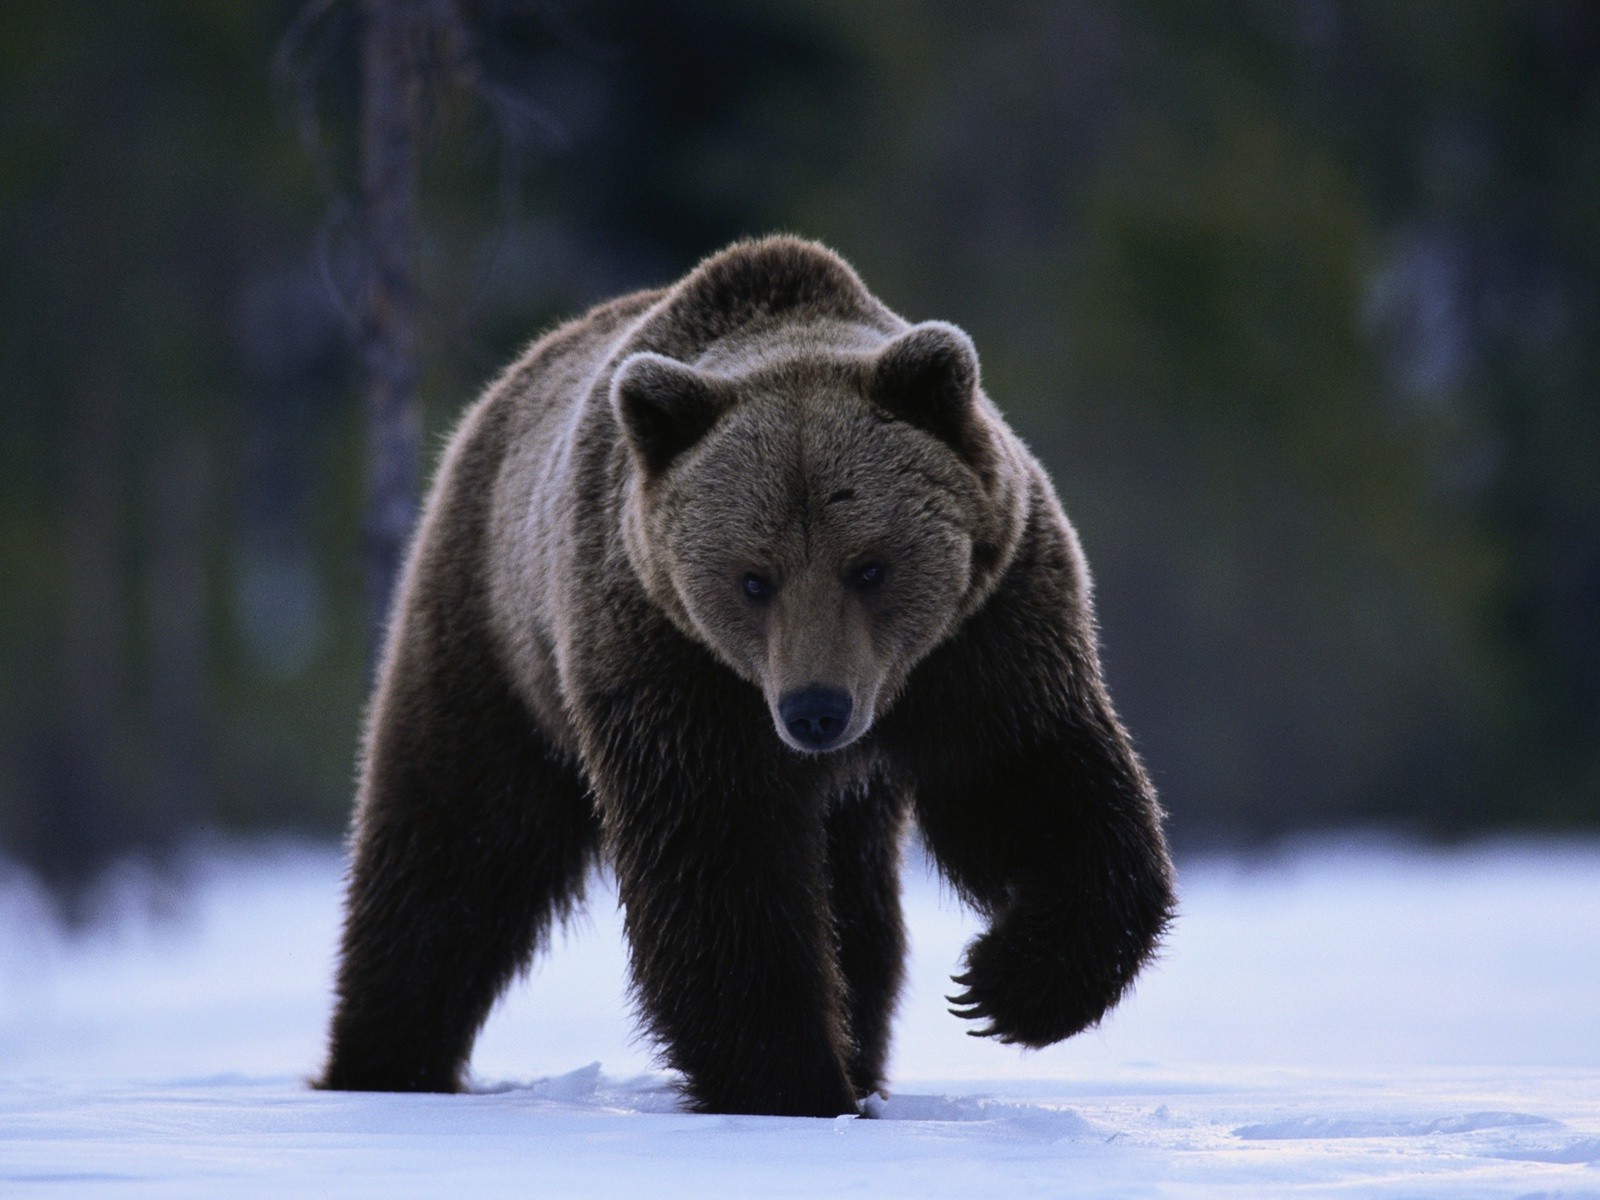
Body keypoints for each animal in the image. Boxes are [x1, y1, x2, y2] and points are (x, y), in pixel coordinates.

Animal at [321, 235, 1177, 1120]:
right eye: (753, 578)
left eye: (869, 566)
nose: (815, 710)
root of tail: (497, 395)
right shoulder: (669, 660)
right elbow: (721, 865)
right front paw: (791, 1083)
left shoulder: (986, 632)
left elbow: (1033, 783)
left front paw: (1005, 985)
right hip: (493, 638)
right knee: (454, 849)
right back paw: (384, 1061)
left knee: (860, 910)